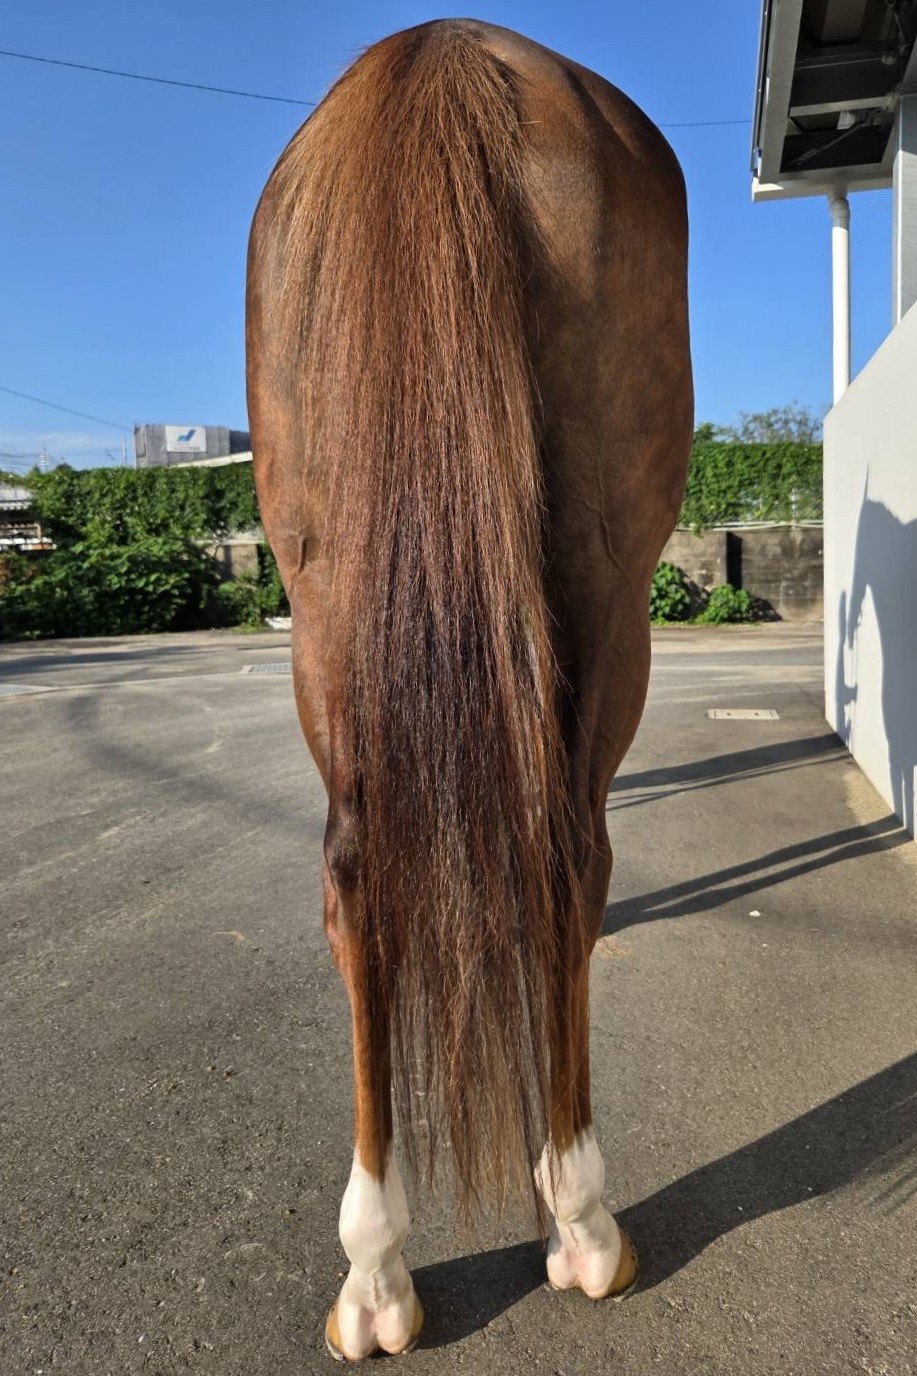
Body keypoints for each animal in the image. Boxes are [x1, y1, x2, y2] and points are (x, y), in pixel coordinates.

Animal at [246, 18, 692, 1360]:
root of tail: (441, 56)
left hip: (326, 594)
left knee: (357, 876)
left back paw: (376, 1269)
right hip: (607, 589)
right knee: (567, 859)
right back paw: (579, 1214)